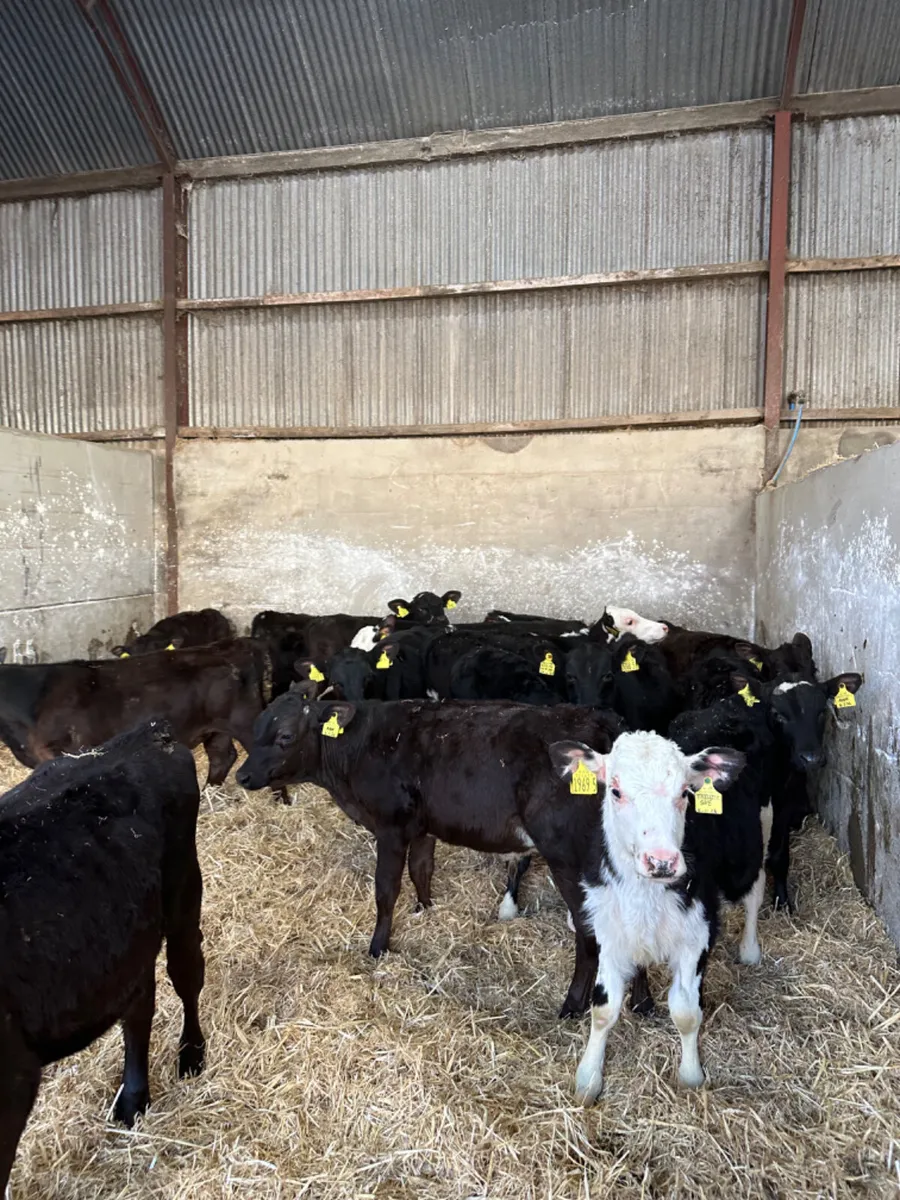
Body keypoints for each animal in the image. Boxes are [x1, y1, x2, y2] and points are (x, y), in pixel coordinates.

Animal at [0, 722, 205, 1191]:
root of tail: (147, 732)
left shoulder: (14, 1081)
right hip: (128, 937)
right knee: (139, 1006)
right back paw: (134, 1099)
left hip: (184, 894)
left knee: (187, 976)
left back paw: (192, 1054)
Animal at [236, 696, 625, 1017]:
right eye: (255, 729)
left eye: (286, 736)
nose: (241, 775)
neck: (358, 749)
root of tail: (601, 720)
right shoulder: (423, 828)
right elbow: (421, 870)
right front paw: (425, 908)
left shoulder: (391, 828)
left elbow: (386, 889)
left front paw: (378, 947)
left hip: (570, 861)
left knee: (590, 934)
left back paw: (573, 1005)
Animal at [548, 731, 748, 1102]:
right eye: (615, 791)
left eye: (684, 792)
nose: (662, 861)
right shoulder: (610, 933)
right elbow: (603, 1009)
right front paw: (588, 1077)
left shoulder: (698, 934)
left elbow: (686, 1012)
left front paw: (691, 1075)